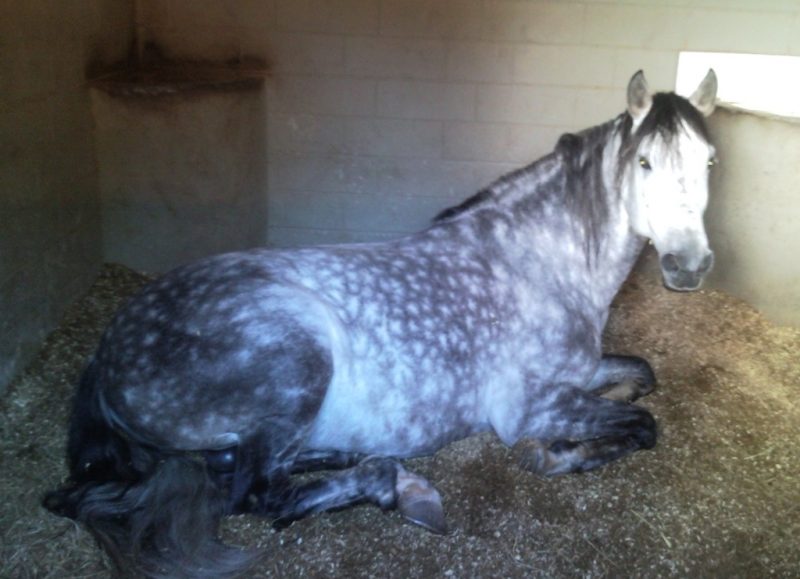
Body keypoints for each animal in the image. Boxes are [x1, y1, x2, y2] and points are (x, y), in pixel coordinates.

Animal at [44, 69, 719, 578]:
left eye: (710, 160)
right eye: (644, 163)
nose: (689, 265)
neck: (538, 263)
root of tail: (107, 352)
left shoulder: (580, 372)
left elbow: (643, 375)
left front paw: (619, 395)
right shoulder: (528, 406)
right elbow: (643, 427)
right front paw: (554, 456)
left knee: (238, 466)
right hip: (298, 359)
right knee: (257, 491)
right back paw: (393, 483)